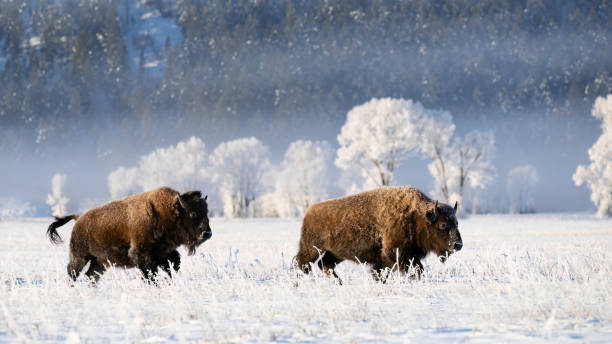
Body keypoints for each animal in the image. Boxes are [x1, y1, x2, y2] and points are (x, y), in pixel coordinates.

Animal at [46, 188, 212, 282]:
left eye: (206, 212)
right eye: (192, 213)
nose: (207, 233)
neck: (167, 213)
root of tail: (79, 219)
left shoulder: (165, 253)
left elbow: (173, 265)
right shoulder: (143, 256)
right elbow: (151, 273)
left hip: (99, 262)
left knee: (90, 276)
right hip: (80, 257)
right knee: (72, 272)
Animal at [296, 187, 464, 280]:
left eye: (456, 223)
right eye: (443, 225)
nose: (458, 245)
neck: (416, 217)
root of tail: (309, 211)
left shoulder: (389, 259)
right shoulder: (397, 254)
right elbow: (417, 270)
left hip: (334, 254)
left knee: (325, 265)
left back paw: (339, 283)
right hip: (312, 251)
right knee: (301, 265)